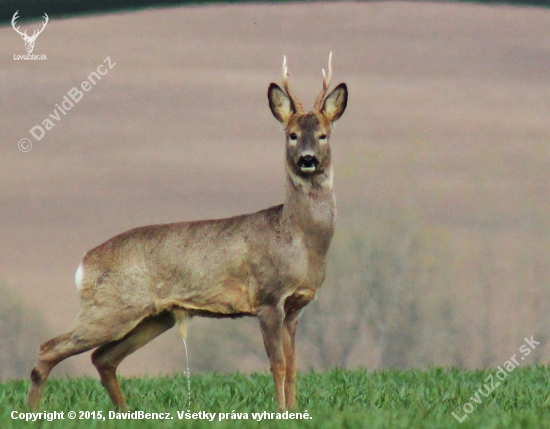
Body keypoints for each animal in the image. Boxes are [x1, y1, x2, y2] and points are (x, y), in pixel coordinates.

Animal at [27, 51, 350, 410]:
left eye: (323, 134)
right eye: (291, 134)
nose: (307, 159)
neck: (300, 240)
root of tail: (85, 263)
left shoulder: (295, 307)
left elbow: (293, 365)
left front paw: (293, 411)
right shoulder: (267, 298)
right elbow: (277, 364)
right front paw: (279, 411)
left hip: (154, 317)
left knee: (103, 357)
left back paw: (123, 411)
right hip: (111, 307)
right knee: (49, 349)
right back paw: (31, 412)